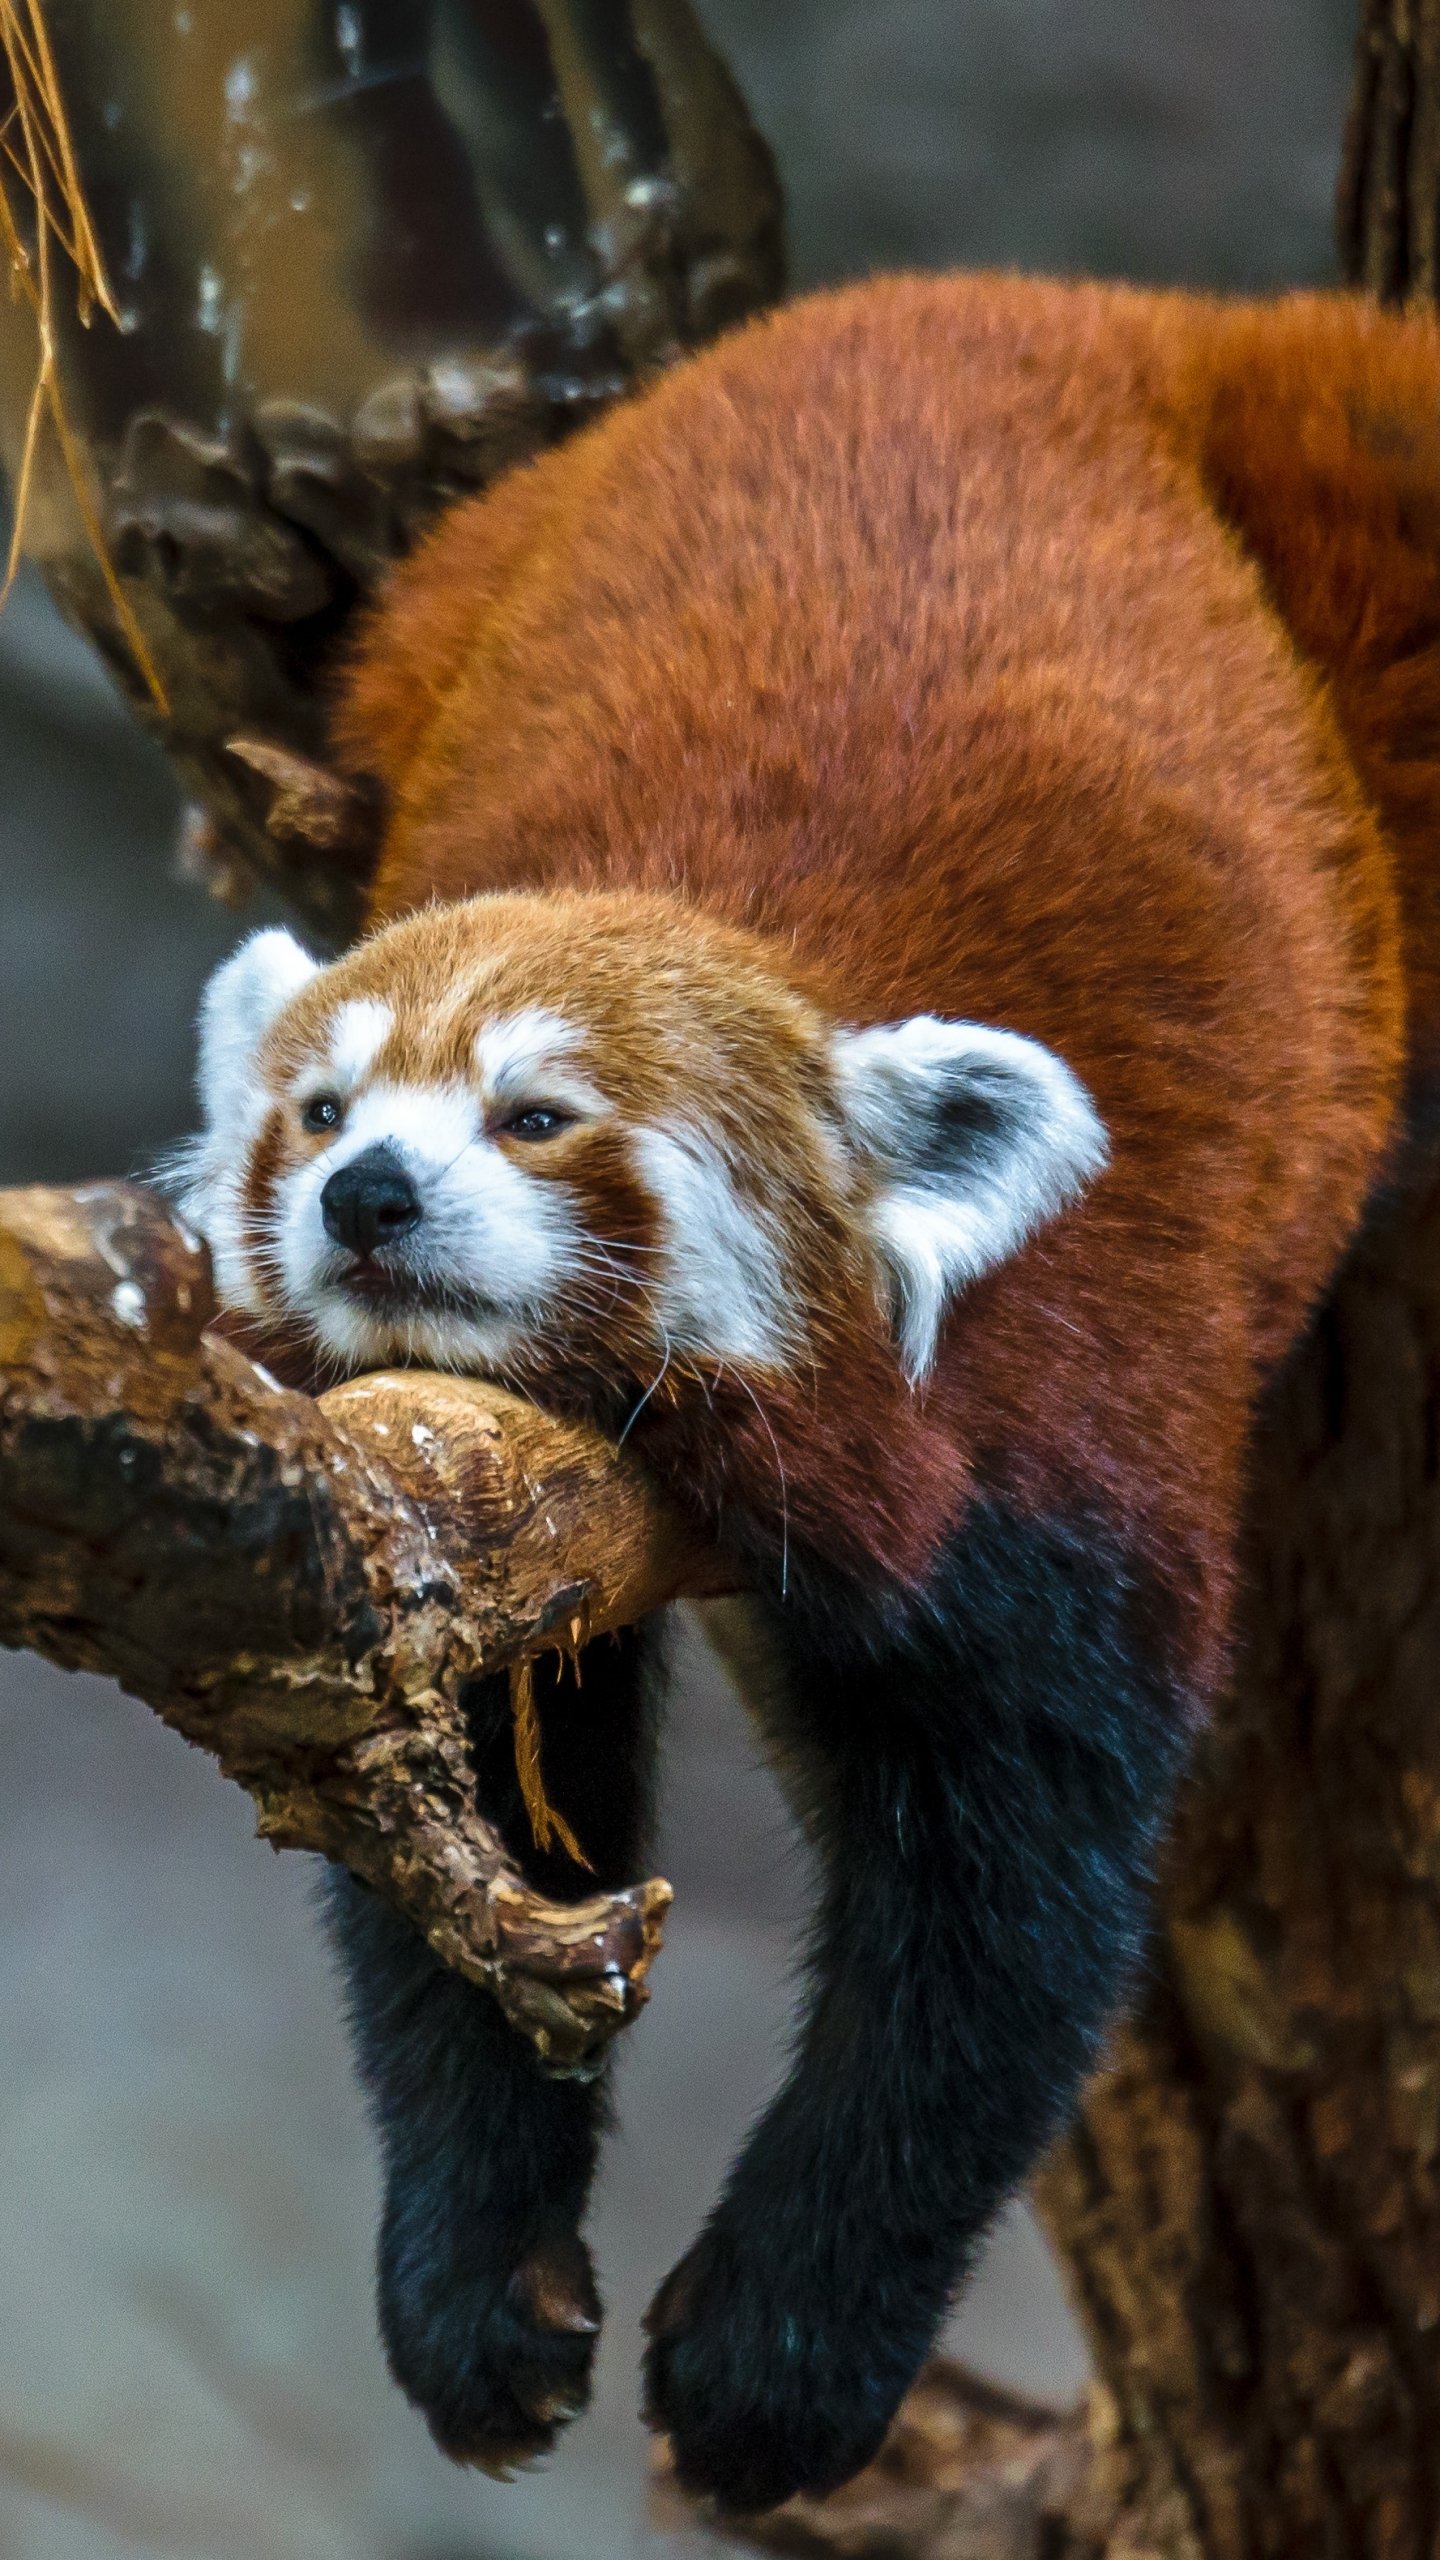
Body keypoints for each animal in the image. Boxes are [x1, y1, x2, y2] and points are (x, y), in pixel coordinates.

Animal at [178, 270, 1440, 2514]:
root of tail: (1069, 301)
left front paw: (778, 2359)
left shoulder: (1053, 1426)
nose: (364, 1192)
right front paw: (480, 2286)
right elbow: (459, 1847)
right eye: (318, 1108)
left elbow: (1002, 1925)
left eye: (536, 1114)